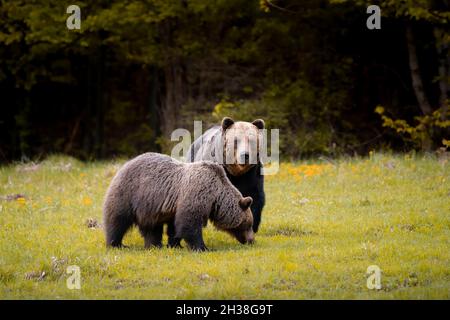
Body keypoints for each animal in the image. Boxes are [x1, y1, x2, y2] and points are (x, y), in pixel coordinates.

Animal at [103, 151, 255, 251]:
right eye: (248, 224)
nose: (251, 240)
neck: (215, 196)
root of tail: (124, 165)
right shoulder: (196, 194)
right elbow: (190, 223)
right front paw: (202, 247)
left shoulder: (174, 207)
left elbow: (174, 227)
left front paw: (175, 244)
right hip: (128, 193)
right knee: (118, 220)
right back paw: (117, 244)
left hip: (150, 206)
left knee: (152, 228)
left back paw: (154, 245)